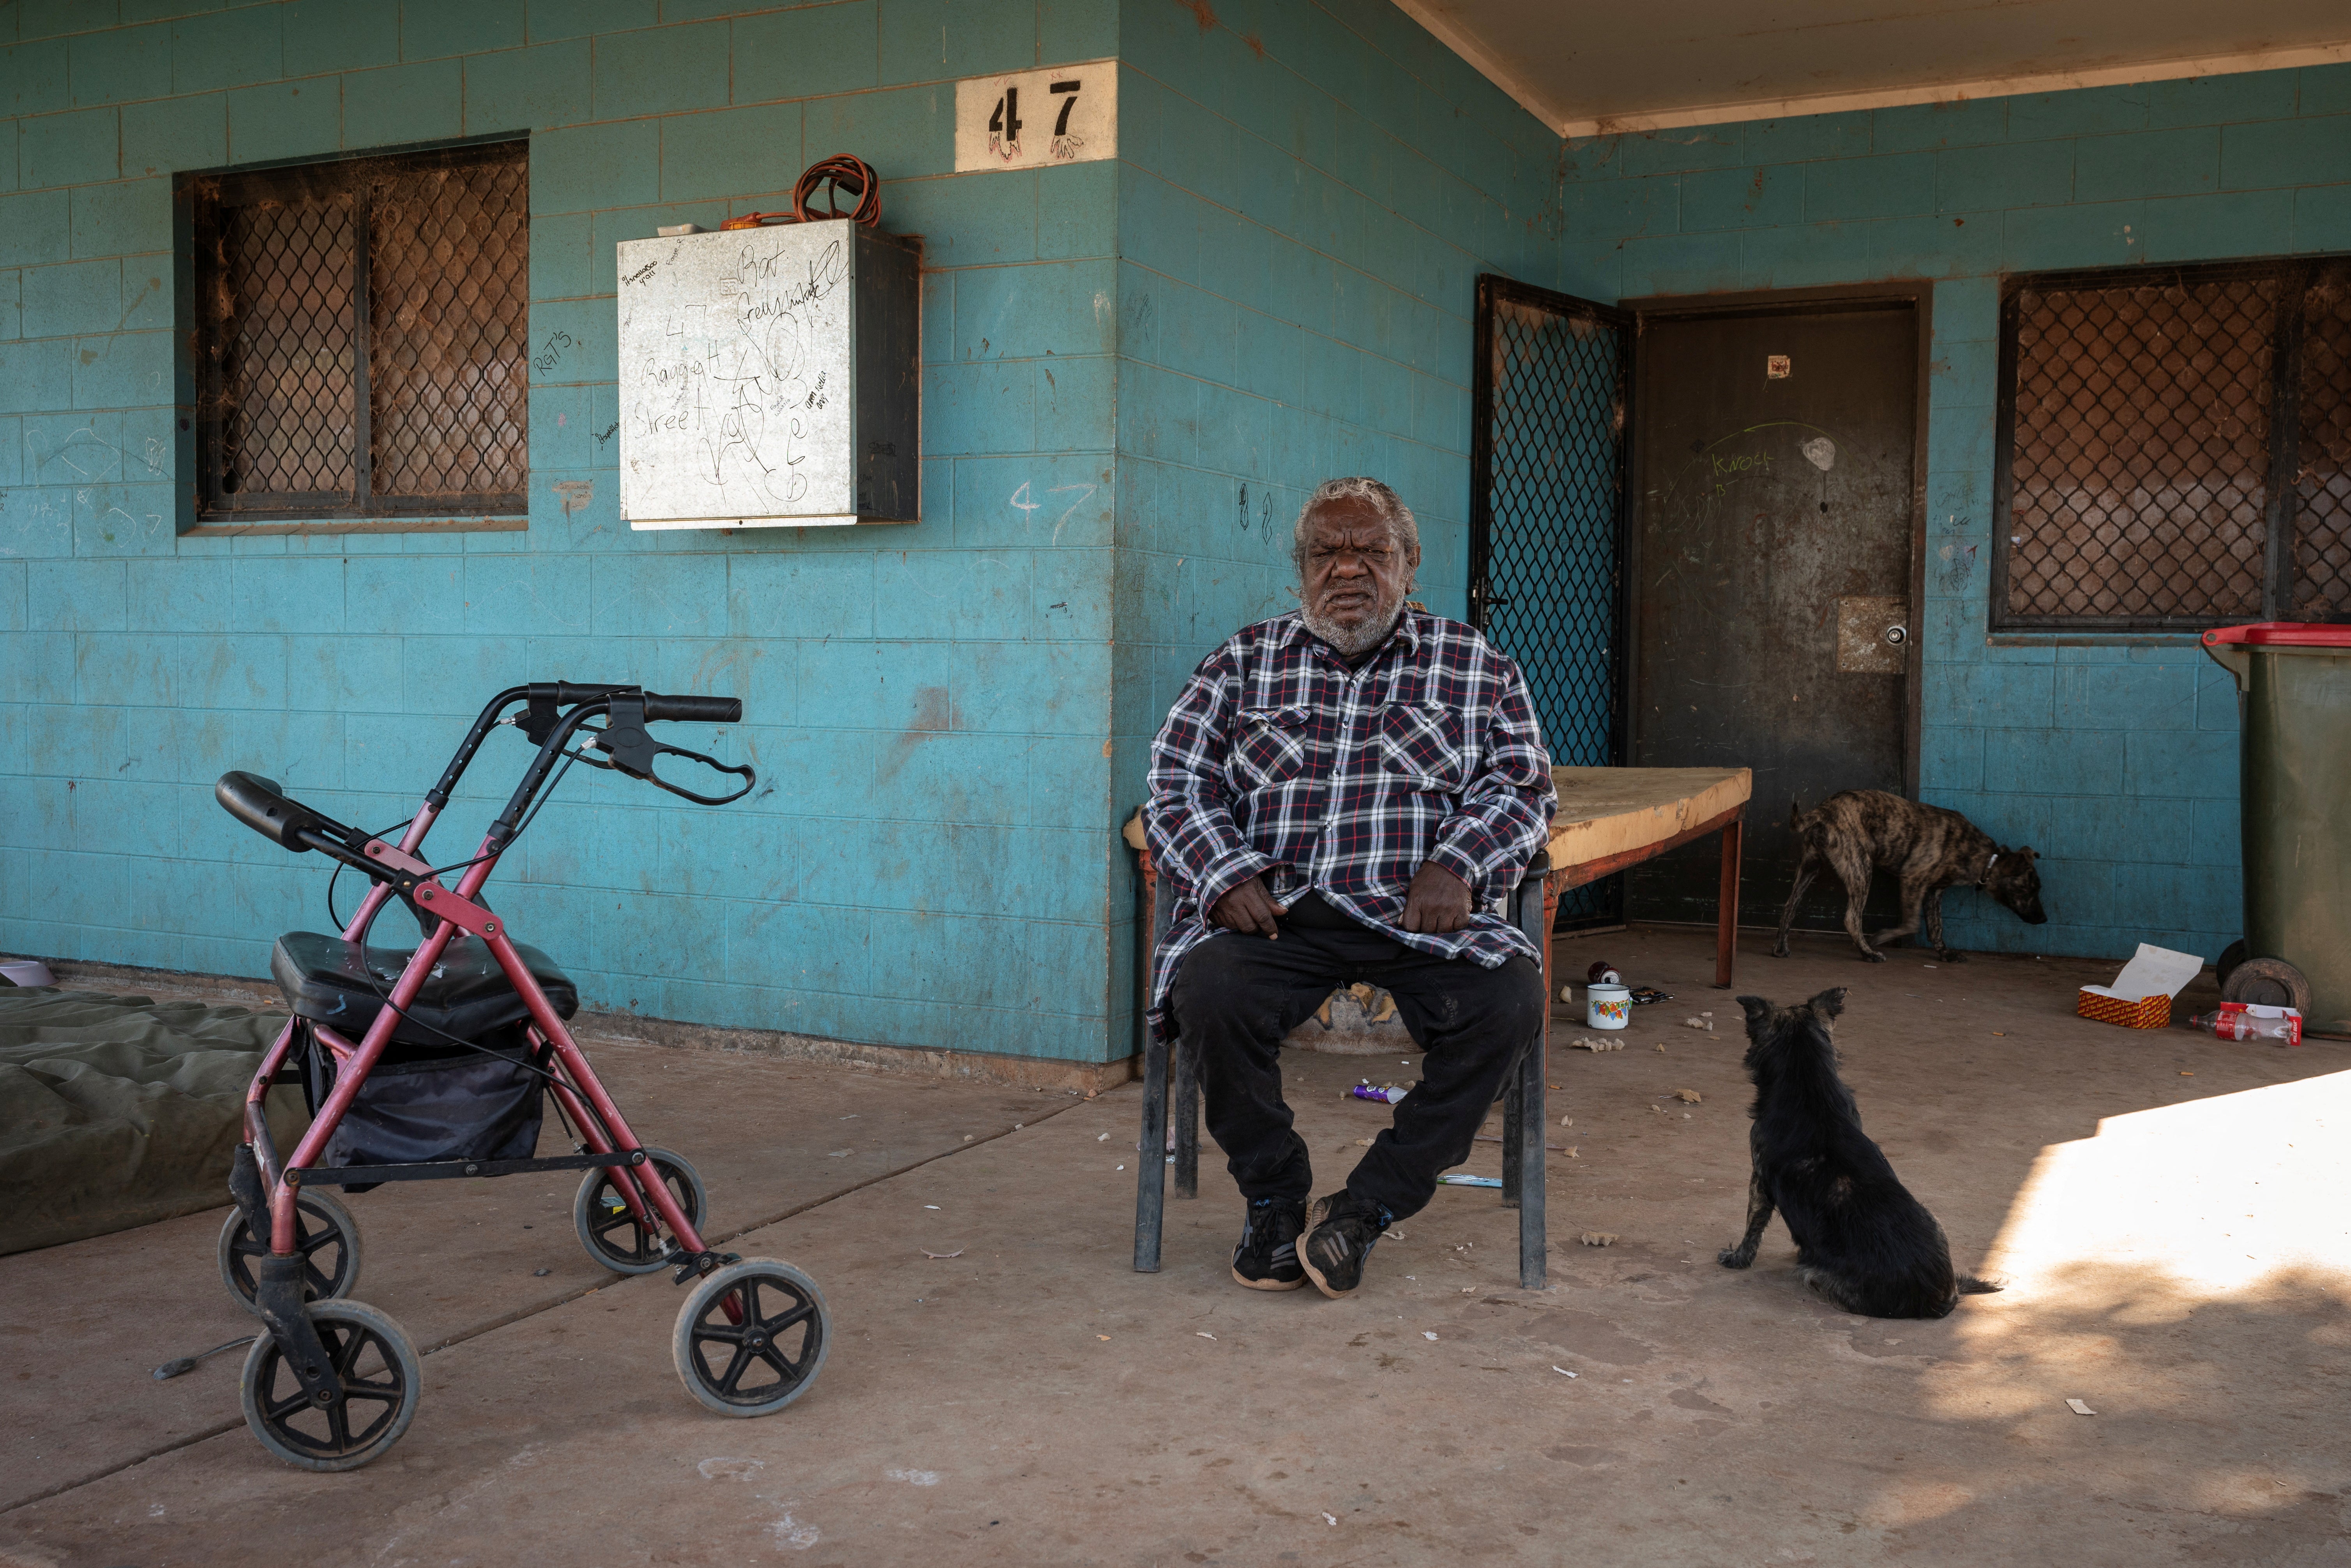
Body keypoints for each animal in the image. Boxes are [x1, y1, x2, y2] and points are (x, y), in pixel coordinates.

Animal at [1712, 987, 2003, 1316]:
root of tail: (1941, 1299)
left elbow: (1752, 1225)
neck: (1808, 1085)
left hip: (1816, 1277)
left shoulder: (1758, 1177)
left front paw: (1737, 1258)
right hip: (1934, 1217)